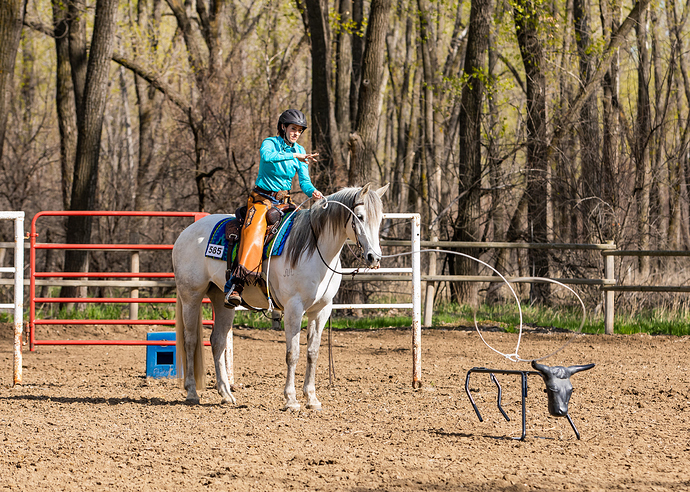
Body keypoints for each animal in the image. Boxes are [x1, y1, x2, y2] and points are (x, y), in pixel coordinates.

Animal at [172, 183, 388, 410]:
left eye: (380, 219)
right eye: (360, 216)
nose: (374, 257)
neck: (314, 250)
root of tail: (186, 233)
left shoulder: (321, 310)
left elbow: (312, 352)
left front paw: (312, 398)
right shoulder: (294, 308)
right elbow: (293, 353)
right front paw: (291, 399)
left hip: (223, 301)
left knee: (218, 341)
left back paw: (226, 394)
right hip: (191, 296)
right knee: (190, 340)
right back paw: (192, 392)